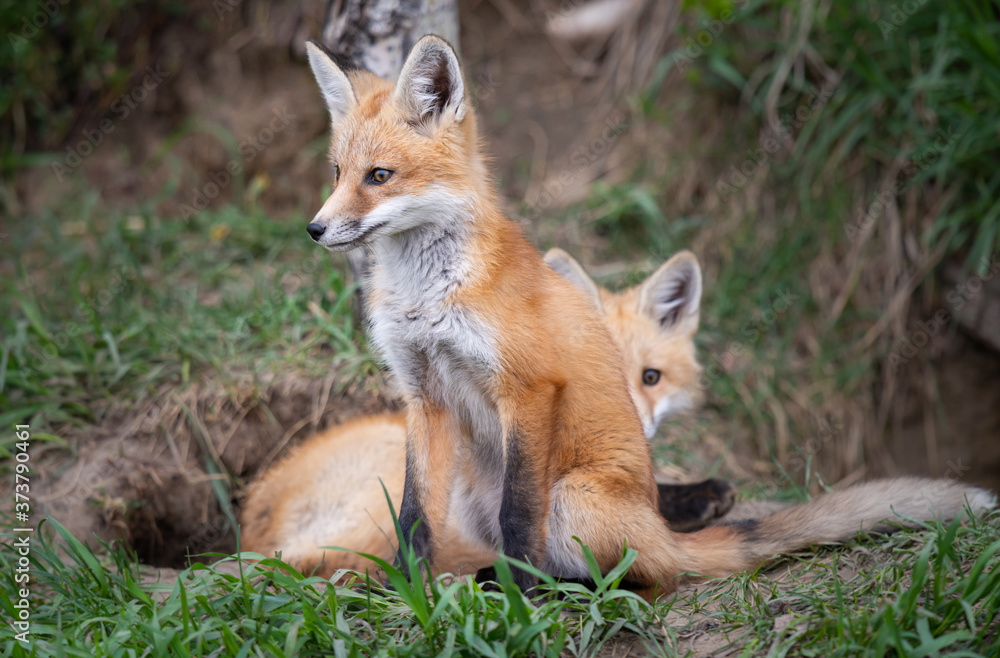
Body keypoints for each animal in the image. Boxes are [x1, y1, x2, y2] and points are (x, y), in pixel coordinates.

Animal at [301, 35, 995, 598]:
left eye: (379, 176)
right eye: (336, 173)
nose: (315, 229)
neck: (429, 297)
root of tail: (662, 529)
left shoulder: (529, 388)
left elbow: (519, 515)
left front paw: (521, 600)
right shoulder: (423, 394)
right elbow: (414, 514)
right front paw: (405, 592)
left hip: (574, 496)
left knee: (653, 576)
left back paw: (561, 588)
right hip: (476, 494)